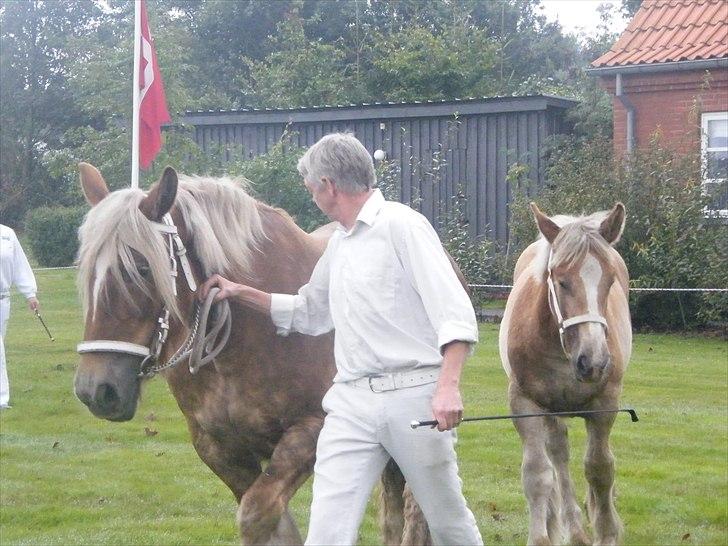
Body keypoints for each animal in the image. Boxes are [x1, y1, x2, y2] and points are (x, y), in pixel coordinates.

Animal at [500, 203, 632, 544]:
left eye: (610, 280)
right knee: (558, 455)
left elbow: (600, 469)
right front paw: (541, 536)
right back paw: (570, 528)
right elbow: (537, 473)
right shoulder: (525, 404)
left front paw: (607, 531)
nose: (593, 361)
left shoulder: (604, 405)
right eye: (560, 280)